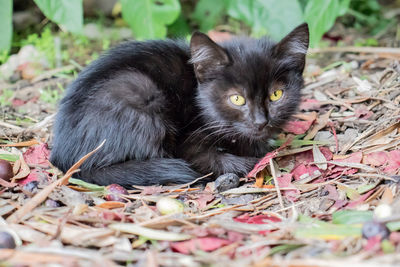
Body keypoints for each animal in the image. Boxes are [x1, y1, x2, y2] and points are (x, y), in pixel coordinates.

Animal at [50, 23, 310, 187]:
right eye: (237, 99)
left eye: (276, 95)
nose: (261, 122)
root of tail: (64, 159)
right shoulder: (189, 142)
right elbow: (212, 159)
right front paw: (252, 159)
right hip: (139, 90)